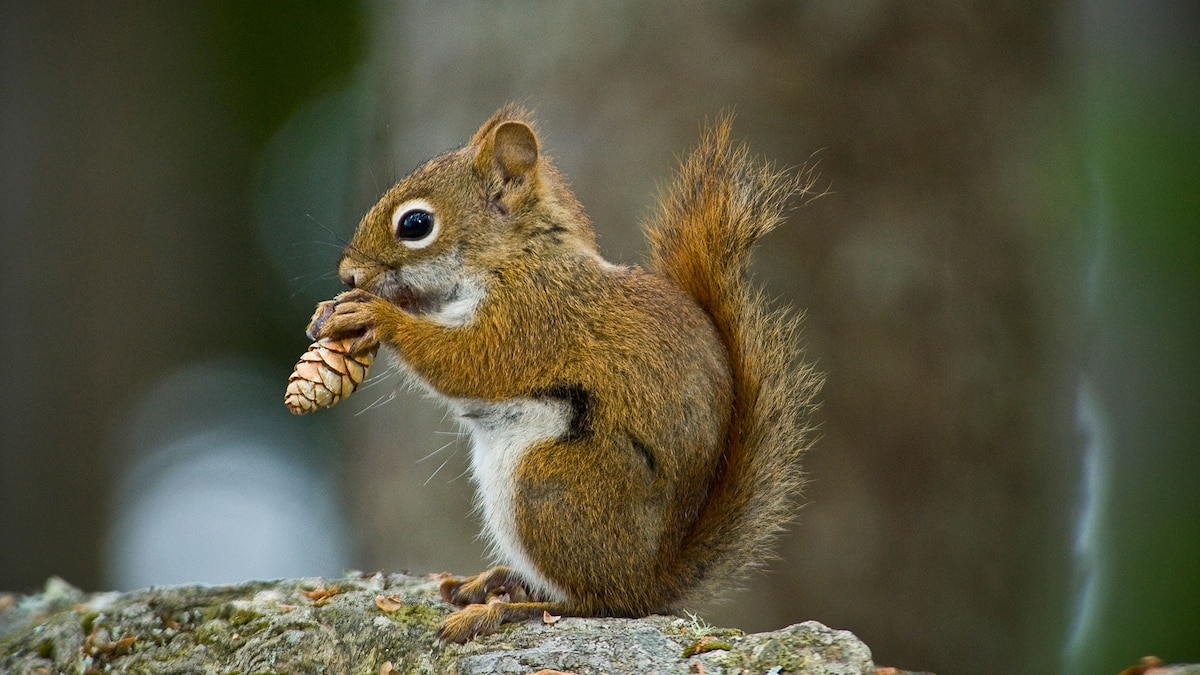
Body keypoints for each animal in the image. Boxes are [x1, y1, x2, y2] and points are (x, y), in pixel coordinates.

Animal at [306, 105, 822, 642]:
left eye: (415, 223)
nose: (348, 275)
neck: (516, 255)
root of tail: (652, 581)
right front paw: (333, 309)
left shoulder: (532, 317)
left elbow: (469, 361)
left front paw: (376, 315)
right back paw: (494, 582)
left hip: (547, 486)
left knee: (597, 603)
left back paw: (504, 609)